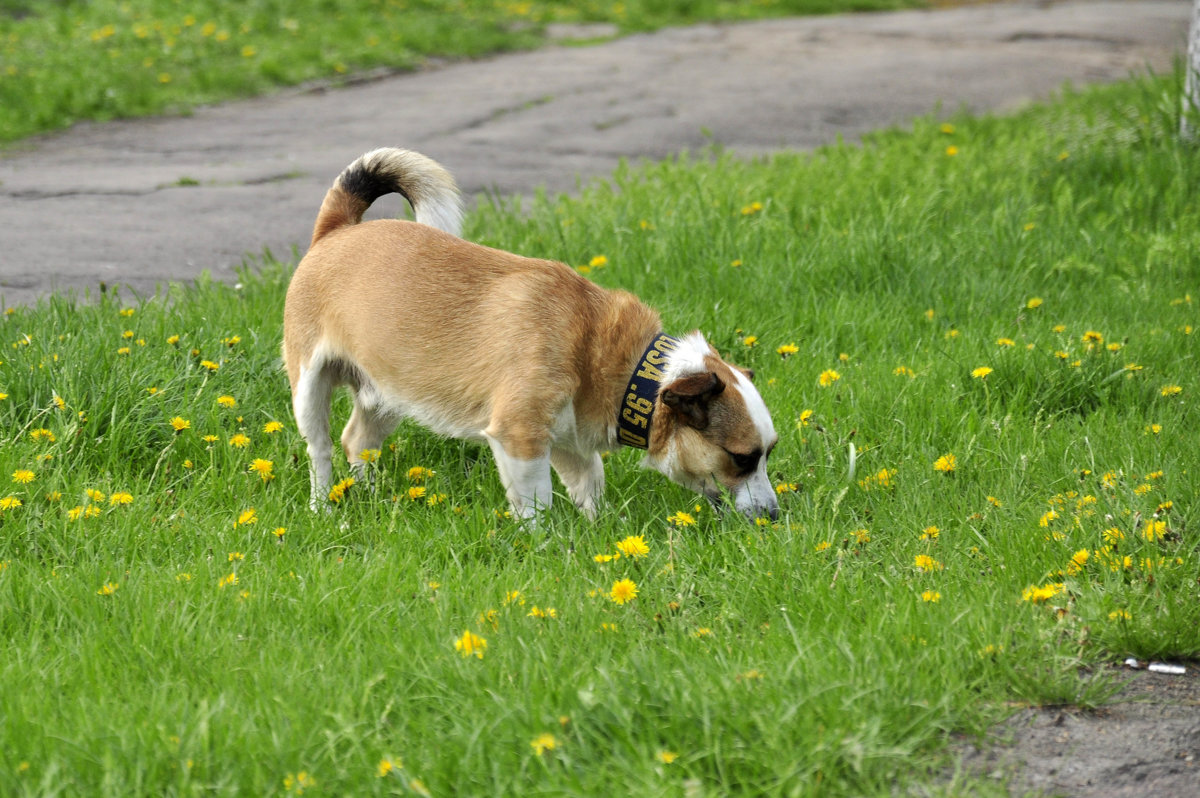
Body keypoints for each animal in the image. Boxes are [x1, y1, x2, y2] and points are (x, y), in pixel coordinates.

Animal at [280, 147, 777, 523]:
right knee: (322, 448)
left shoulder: (569, 441)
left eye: (768, 453)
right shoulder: (519, 437)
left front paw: (597, 529)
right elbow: (536, 504)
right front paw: (544, 543)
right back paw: (323, 506)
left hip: (387, 394)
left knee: (358, 443)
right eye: (743, 458)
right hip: (309, 387)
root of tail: (337, 230)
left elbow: (589, 483)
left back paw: (367, 492)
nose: (773, 515)